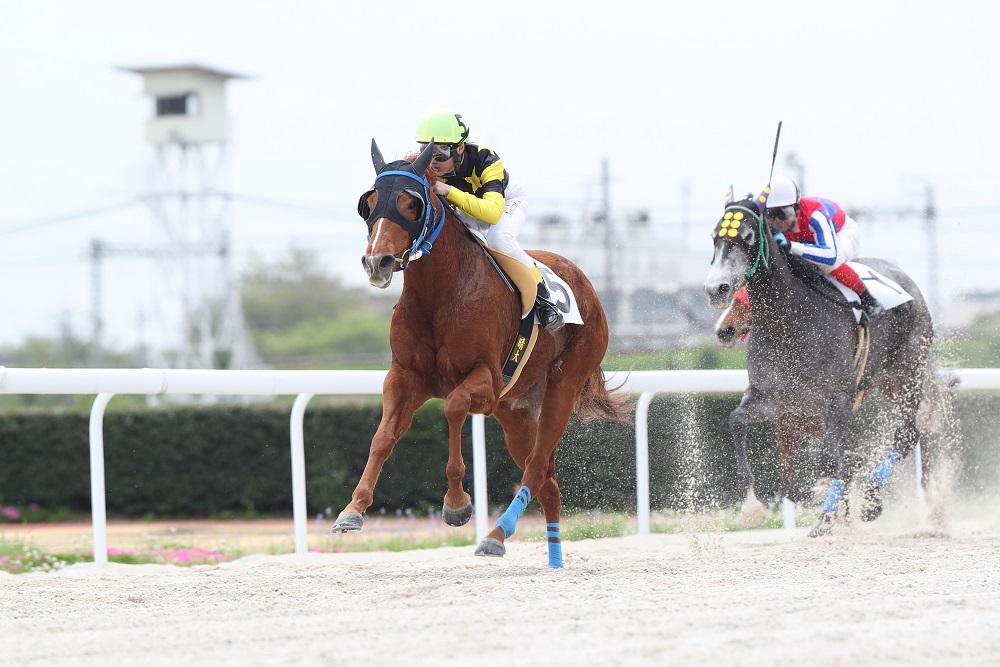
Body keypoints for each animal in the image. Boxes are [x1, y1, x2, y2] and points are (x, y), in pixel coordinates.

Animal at [332, 140, 633, 567]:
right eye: (369, 202)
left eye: (411, 203)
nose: (378, 262)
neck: (440, 294)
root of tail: (585, 283)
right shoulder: (405, 377)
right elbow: (383, 436)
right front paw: (352, 510)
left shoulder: (486, 381)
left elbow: (454, 407)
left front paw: (457, 504)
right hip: (516, 410)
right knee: (548, 480)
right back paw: (552, 557)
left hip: (564, 385)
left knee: (536, 468)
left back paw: (495, 534)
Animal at [703, 195, 941, 536]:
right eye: (714, 237)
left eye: (746, 236)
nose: (716, 289)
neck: (789, 323)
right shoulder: (777, 402)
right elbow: (741, 427)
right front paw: (752, 508)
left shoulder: (836, 398)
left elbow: (830, 460)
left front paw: (825, 509)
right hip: (882, 383)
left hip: (906, 373)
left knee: (908, 432)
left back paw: (872, 501)